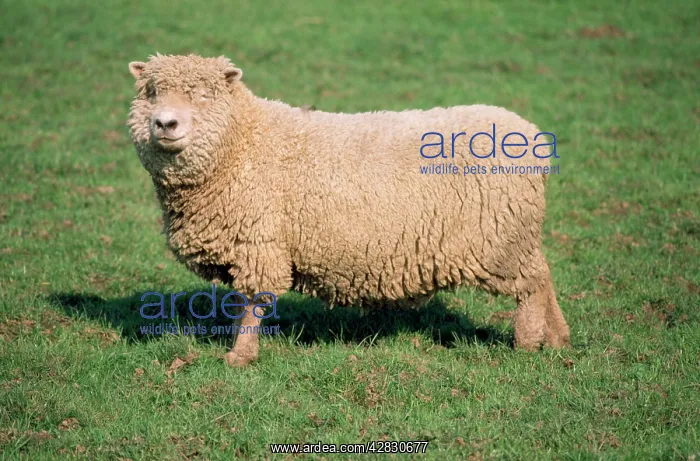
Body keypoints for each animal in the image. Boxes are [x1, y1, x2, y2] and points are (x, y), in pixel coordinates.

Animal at [127, 54, 570, 367]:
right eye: (151, 92)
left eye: (204, 94)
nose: (165, 124)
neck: (243, 143)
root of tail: (532, 138)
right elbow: (240, 303)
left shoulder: (259, 243)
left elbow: (253, 302)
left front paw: (240, 356)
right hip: (516, 234)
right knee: (544, 274)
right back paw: (557, 338)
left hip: (501, 239)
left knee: (531, 286)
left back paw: (527, 344)